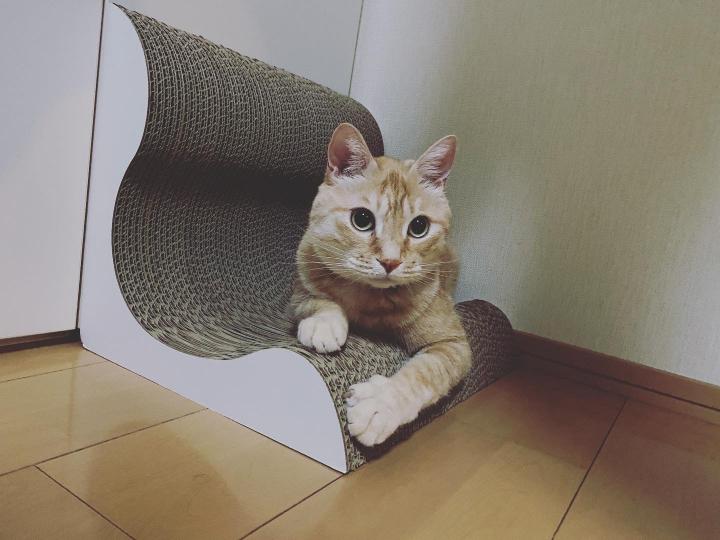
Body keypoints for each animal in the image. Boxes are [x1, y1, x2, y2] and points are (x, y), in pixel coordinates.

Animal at [291, 123, 471, 447]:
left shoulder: (453, 344)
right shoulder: (298, 291)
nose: (390, 261)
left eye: (419, 226)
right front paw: (325, 324)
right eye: (361, 219)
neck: (371, 299)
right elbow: (318, 300)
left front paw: (379, 406)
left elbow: (424, 374)